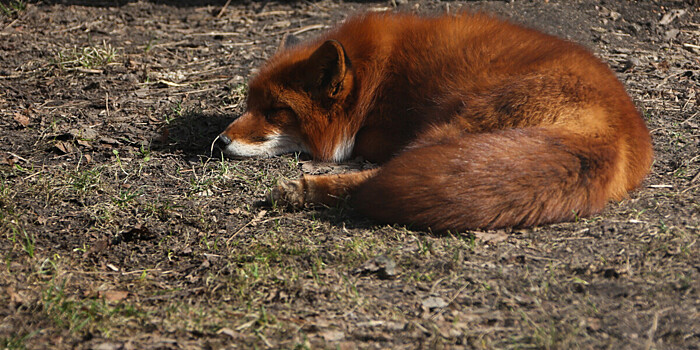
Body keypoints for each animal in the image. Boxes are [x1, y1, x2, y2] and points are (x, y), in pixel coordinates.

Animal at [216, 11, 652, 232]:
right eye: (249, 104)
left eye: (275, 111)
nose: (218, 143)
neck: (376, 75)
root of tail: (614, 134)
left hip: (455, 124)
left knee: (374, 181)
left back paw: (302, 189)